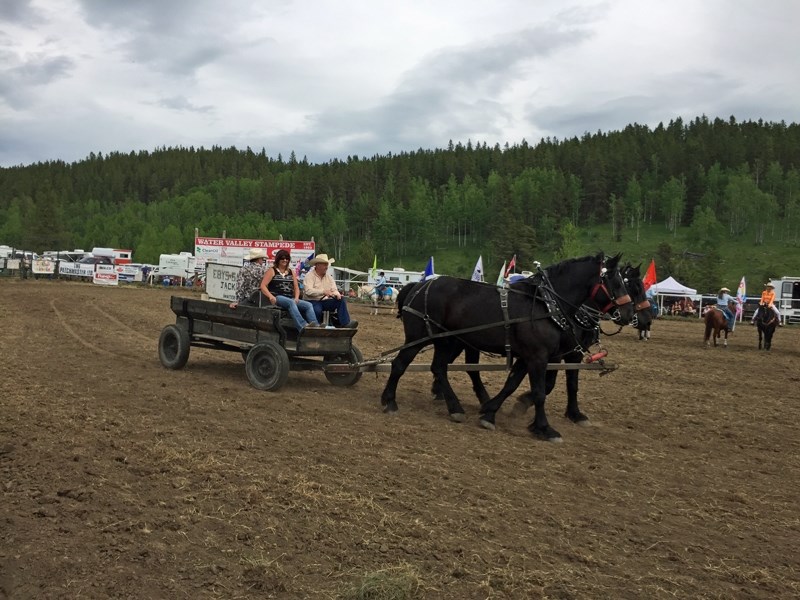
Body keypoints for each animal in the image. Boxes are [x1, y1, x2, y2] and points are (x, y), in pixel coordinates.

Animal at [380, 253, 632, 440]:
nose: (629, 314)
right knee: (400, 364)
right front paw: (544, 428)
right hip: (420, 336)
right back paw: (390, 401)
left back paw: (455, 408)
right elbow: (540, 392)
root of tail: (418, 286)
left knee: (439, 368)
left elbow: (511, 384)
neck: (546, 305)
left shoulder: (528, 357)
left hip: (446, 340)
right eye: (615, 282)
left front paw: (489, 412)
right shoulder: (538, 357)